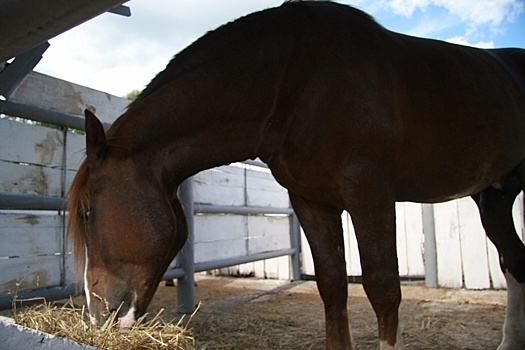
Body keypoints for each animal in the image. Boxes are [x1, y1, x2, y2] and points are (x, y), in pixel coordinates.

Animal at [66, 1, 524, 348]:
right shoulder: (311, 201)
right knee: (513, 261)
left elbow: (382, 288)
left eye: (88, 213)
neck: (294, 81)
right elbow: (332, 285)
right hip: (494, 198)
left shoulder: (370, 194)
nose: (95, 315)